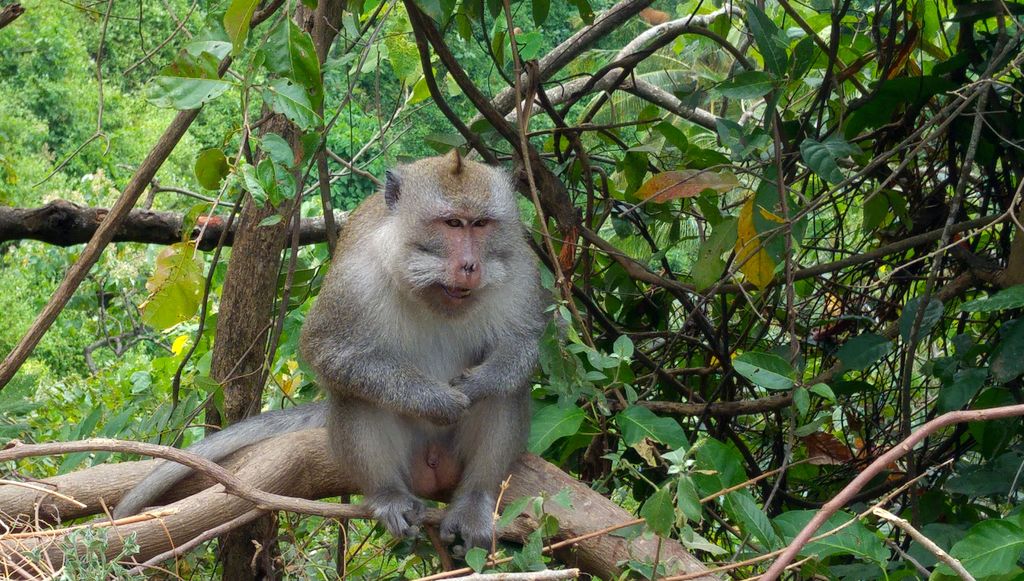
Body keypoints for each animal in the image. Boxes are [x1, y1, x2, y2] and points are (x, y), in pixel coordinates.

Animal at [115, 148, 548, 549]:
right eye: (452, 223)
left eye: (481, 224)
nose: (470, 266)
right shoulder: (355, 276)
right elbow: (328, 350)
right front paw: (434, 399)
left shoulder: (522, 267)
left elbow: (523, 343)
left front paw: (478, 384)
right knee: (355, 392)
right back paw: (388, 494)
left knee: (508, 390)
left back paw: (475, 499)